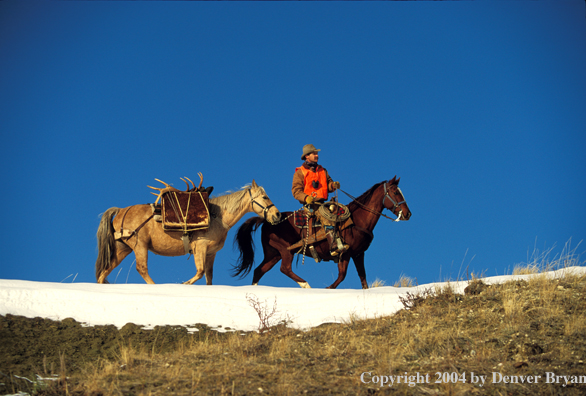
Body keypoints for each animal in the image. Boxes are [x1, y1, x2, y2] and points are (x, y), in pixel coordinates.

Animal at [95, 179, 278, 284]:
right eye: (265, 197)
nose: (276, 215)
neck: (217, 217)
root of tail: (120, 211)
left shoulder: (211, 253)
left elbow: (208, 276)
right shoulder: (200, 248)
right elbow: (200, 272)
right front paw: (184, 284)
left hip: (123, 248)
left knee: (105, 272)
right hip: (140, 245)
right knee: (141, 269)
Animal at [230, 178, 408, 290]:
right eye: (396, 193)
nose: (408, 214)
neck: (357, 220)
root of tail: (267, 221)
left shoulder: (358, 254)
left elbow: (363, 277)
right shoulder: (345, 253)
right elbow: (342, 276)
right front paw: (328, 288)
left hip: (273, 254)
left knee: (259, 270)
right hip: (284, 251)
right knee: (285, 268)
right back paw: (306, 285)